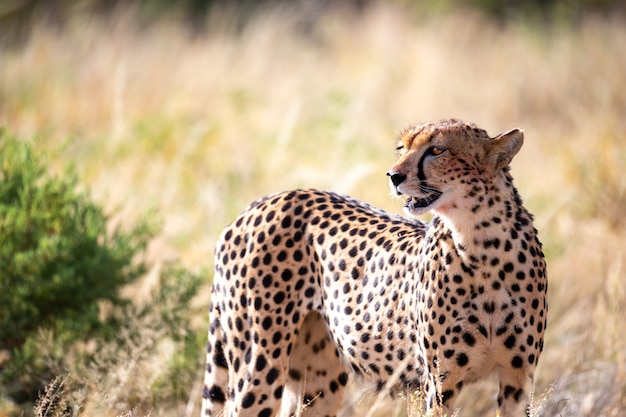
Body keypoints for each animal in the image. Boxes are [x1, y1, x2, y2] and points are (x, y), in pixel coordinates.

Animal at [202, 118, 544, 414]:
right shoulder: (440, 383)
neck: (482, 243)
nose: (393, 176)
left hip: (319, 377)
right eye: (402, 148)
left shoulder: (517, 380)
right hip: (260, 363)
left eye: (437, 150)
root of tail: (261, 202)